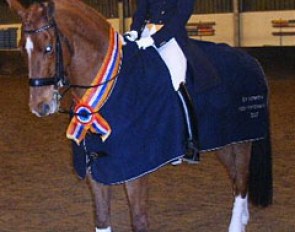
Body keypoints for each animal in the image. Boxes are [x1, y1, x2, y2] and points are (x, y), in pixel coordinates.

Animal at [5, 0, 272, 232]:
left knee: (241, 180)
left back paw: (237, 225)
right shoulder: (95, 166)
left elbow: (139, 220)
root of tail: (251, 61)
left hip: (240, 140)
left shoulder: (136, 170)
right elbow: (102, 219)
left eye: (49, 48)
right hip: (223, 142)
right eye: (21, 49)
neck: (112, 86)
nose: (40, 106)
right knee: (237, 179)